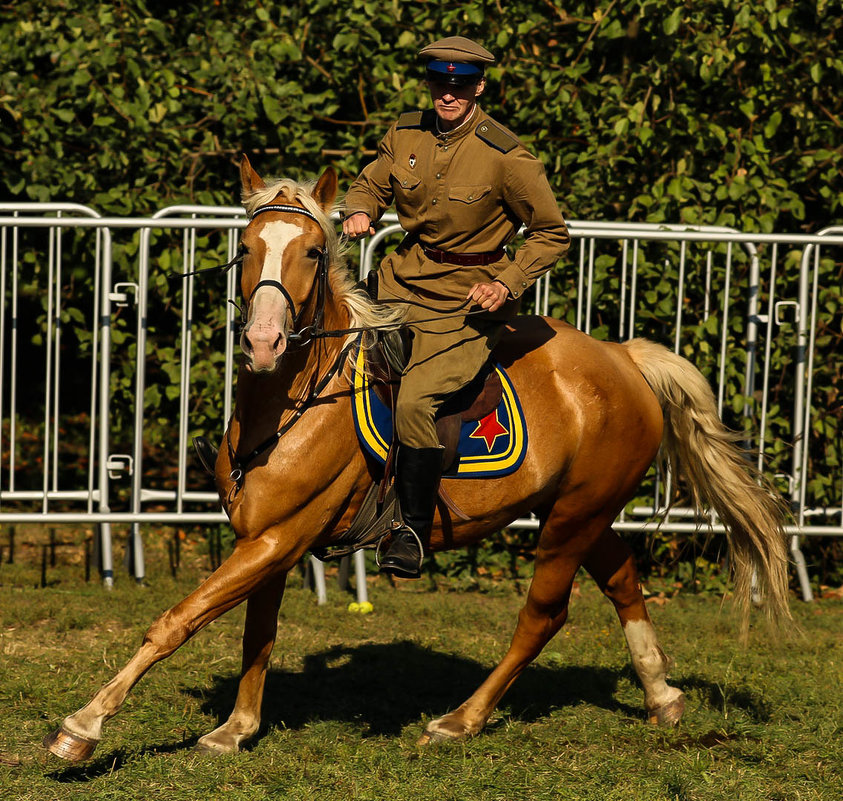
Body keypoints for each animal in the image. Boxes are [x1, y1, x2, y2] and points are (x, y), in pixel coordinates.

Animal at [41, 158, 792, 764]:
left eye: (313, 251)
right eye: (247, 246)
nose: (263, 342)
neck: (290, 402)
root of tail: (622, 356)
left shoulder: (279, 537)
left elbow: (178, 620)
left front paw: (83, 727)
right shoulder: (265, 539)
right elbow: (258, 632)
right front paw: (238, 728)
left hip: (568, 523)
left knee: (542, 616)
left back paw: (462, 719)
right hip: (585, 511)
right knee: (624, 583)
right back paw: (661, 695)